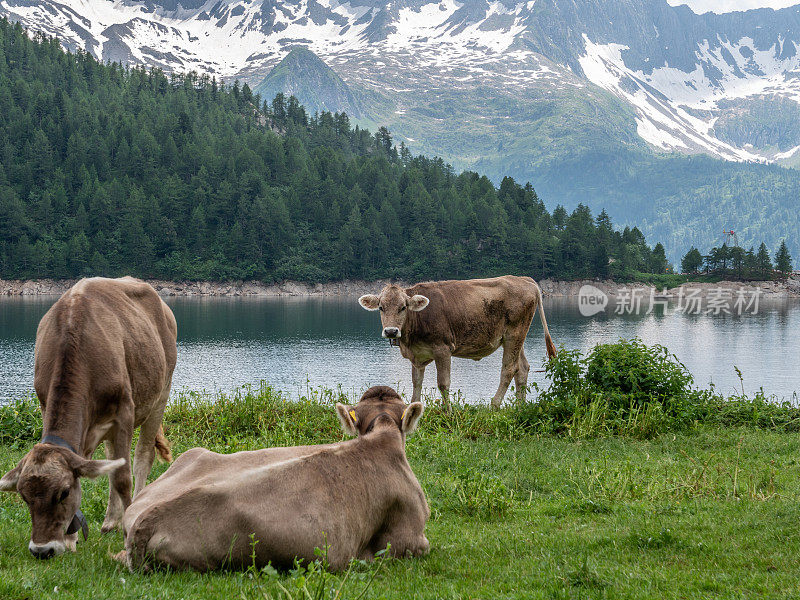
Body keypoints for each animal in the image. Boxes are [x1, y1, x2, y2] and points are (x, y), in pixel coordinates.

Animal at [0, 276, 177, 556]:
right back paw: (110, 521)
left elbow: (122, 477)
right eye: (24, 497)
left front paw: (127, 528)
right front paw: (71, 539)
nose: (42, 550)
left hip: (161, 395)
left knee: (142, 457)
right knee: (111, 457)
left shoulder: (124, 413)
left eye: (63, 493)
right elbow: (95, 466)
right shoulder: (47, 405)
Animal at [360, 276, 556, 408]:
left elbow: (443, 383)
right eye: (381, 307)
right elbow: (416, 382)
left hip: (514, 333)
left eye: (403, 307)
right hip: (515, 337)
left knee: (509, 369)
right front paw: (413, 409)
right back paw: (520, 407)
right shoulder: (417, 354)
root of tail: (523, 279)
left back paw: (494, 405)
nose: (391, 331)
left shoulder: (443, 348)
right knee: (522, 368)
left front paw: (448, 412)